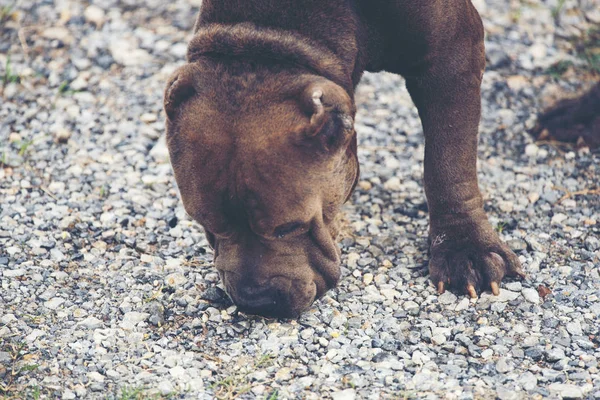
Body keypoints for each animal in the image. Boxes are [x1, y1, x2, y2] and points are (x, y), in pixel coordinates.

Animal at [164, 0, 524, 318]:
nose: (257, 301)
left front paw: (466, 248)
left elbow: (448, 158)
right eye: (206, 224)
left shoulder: (453, 53)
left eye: (290, 227)